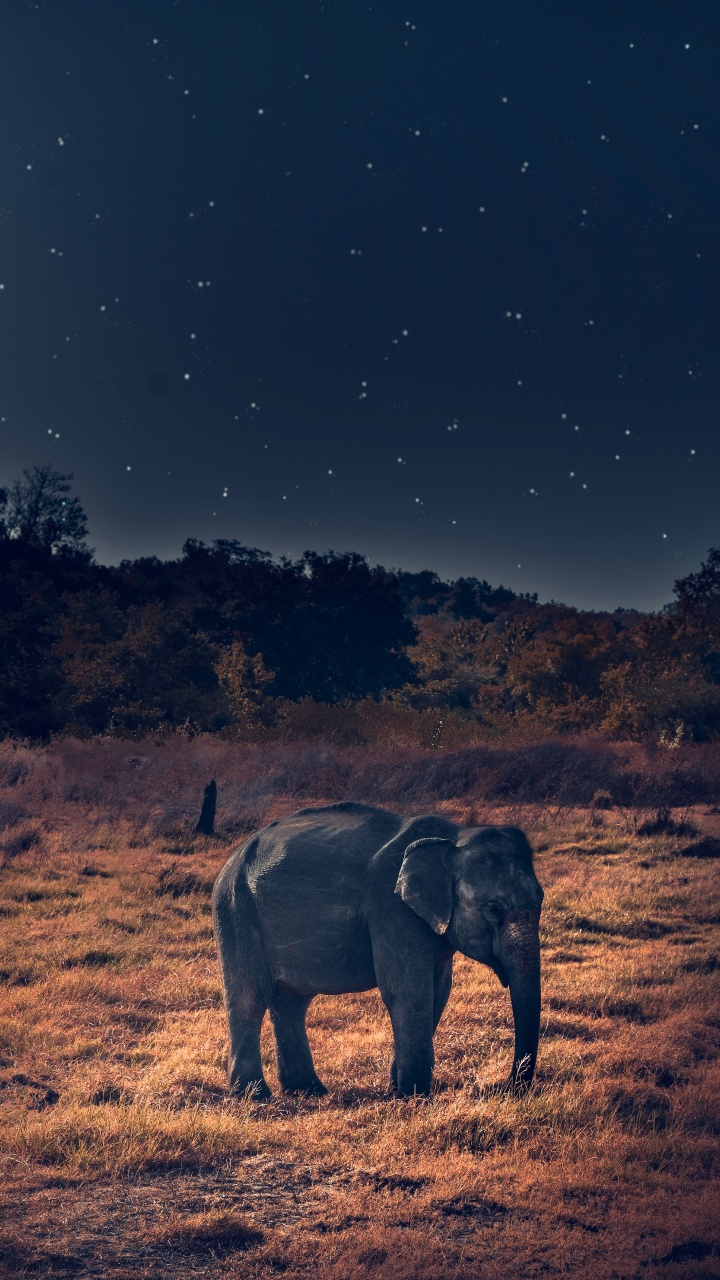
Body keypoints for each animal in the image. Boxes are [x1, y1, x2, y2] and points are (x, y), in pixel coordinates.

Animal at [212, 802, 543, 1099]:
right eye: (494, 909)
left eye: (541, 900)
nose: (506, 1088)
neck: (455, 837)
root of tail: (234, 858)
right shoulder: (390, 909)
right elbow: (408, 990)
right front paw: (413, 1096)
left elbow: (438, 992)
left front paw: (398, 1090)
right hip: (236, 909)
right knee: (248, 997)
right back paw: (255, 1095)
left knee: (291, 1001)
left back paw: (307, 1090)